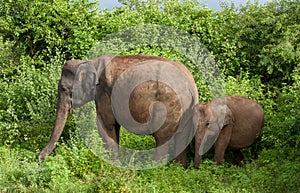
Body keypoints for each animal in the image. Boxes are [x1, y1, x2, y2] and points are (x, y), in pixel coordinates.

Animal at [38, 54, 199, 167]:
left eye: (64, 89)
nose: (39, 158)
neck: (90, 62)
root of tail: (191, 85)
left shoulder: (103, 93)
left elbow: (106, 125)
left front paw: (114, 166)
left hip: (168, 106)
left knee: (162, 138)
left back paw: (156, 169)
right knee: (181, 138)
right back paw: (179, 169)